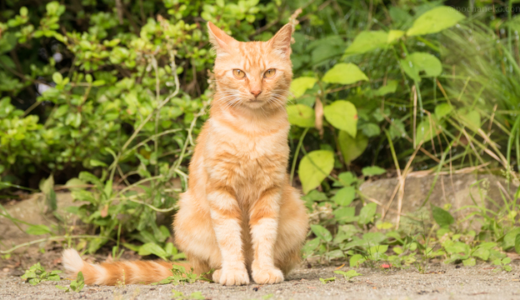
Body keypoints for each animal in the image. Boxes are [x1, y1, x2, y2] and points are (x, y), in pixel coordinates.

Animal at [63, 21, 310, 286]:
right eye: (239, 73)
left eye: (269, 73)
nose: (255, 91)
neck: (251, 128)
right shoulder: (221, 190)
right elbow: (229, 237)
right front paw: (234, 272)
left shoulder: (269, 191)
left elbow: (264, 236)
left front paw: (264, 270)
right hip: (186, 216)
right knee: (207, 268)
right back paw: (222, 271)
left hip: (296, 213)